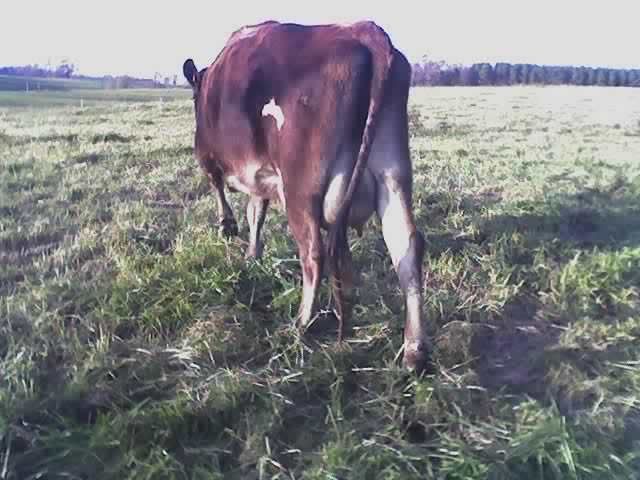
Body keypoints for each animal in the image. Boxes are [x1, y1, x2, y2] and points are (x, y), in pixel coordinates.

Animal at [182, 20, 427, 371]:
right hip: (392, 174)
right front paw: (252, 254)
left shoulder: (207, 153)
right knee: (406, 247)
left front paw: (227, 226)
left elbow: (221, 189)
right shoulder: (262, 173)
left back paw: (301, 324)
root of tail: (363, 31)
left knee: (313, 254)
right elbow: (256, 212)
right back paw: (414, 350)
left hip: (301, 189)